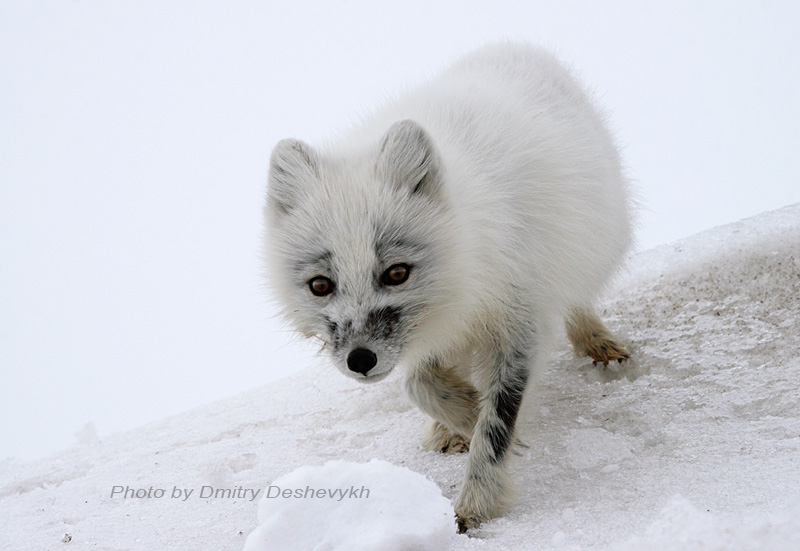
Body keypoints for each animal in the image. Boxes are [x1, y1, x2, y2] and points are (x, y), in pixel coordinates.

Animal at [266, 42, 636, 532]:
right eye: (320, 285)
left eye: (397, 273)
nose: (360, 361)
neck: (467, 260)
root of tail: (513, 46)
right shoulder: (434, 335)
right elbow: (419, 384)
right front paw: (464, 413)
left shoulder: (519, 322)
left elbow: (498, 421)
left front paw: (475, 506)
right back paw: (447, 428)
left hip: (586, 247)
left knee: (576, 298)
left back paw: (596, 341)